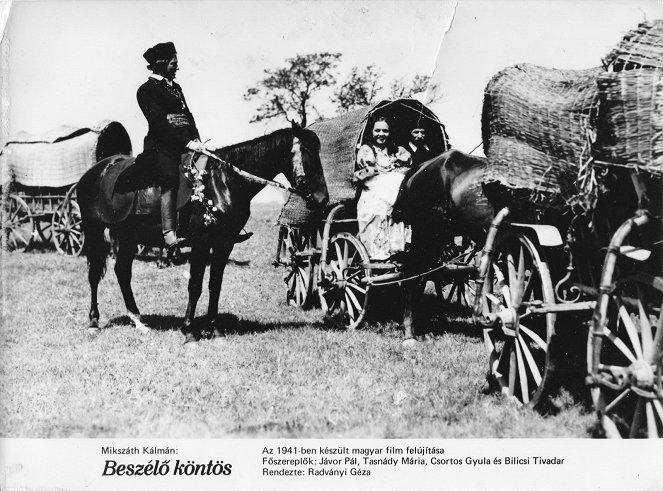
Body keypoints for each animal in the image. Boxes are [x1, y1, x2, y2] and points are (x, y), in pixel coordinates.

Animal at [79, 124, 328, 342]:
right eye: (307, 153)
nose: (322, 199)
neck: (223, 181)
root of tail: (96, 170)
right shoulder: (201, 242)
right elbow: (195, 285)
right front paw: (189, 331)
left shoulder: (224, 244)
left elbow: (214, 285)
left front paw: (215, 330)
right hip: (94, 231)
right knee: (93, 275)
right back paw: (93, 323)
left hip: (129, 237)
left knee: (122, 272)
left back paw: (139, 321)